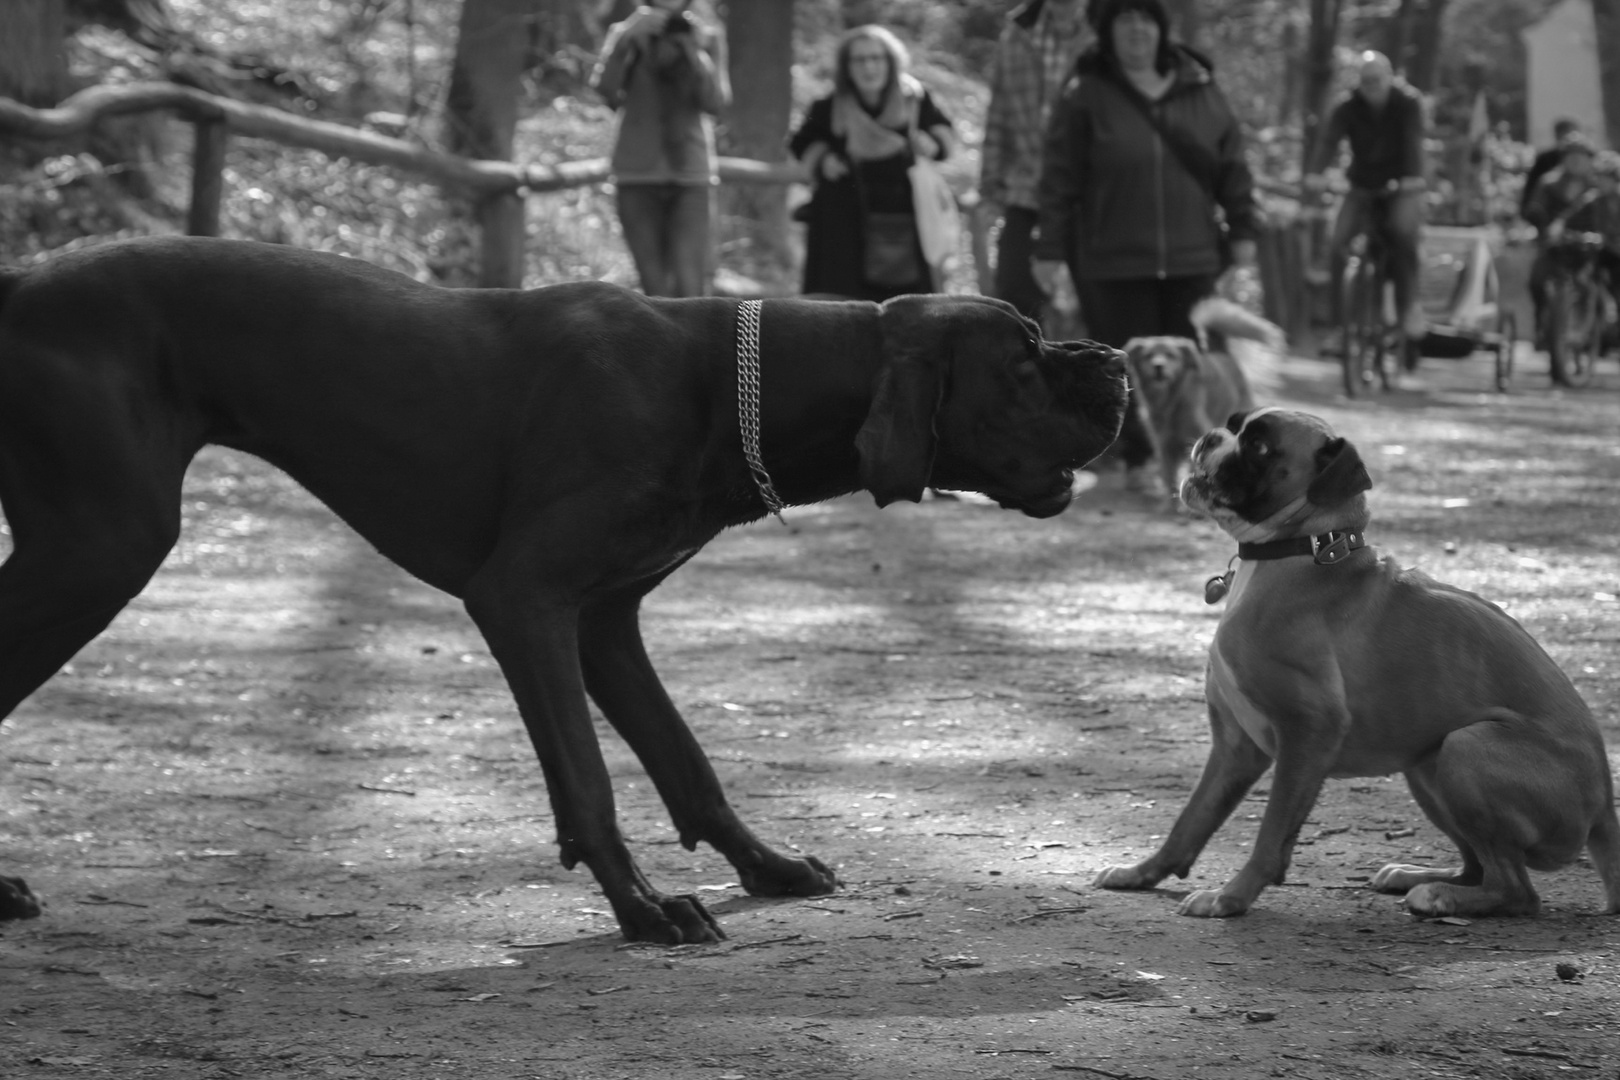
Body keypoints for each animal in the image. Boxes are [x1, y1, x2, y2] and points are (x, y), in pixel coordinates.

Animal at [0, 238, 1127, 945]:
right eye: (1025, 355)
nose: (1118, 357)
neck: (721, 383)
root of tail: (17, 278)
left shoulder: (603, 622)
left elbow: (686, 762)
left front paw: (762, 866)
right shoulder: (524, 599)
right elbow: (587, 778)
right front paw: (645, 909)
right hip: (101, 546)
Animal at [1095, 409, 1620, 919]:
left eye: (1260, 446)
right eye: (1234, 424)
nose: (1208, 437)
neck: (1302, 549)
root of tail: (1604, 806)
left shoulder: (1308, 732)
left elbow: (1271, 835)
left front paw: (1231, 898)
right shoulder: (1235, 746)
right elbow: (1191, 820)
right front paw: (1143, 874)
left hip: (1465, 747)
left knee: (1519, 891)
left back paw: (1440, 898)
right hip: (1427, 766)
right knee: (1479, 867)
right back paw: (1421, 878)